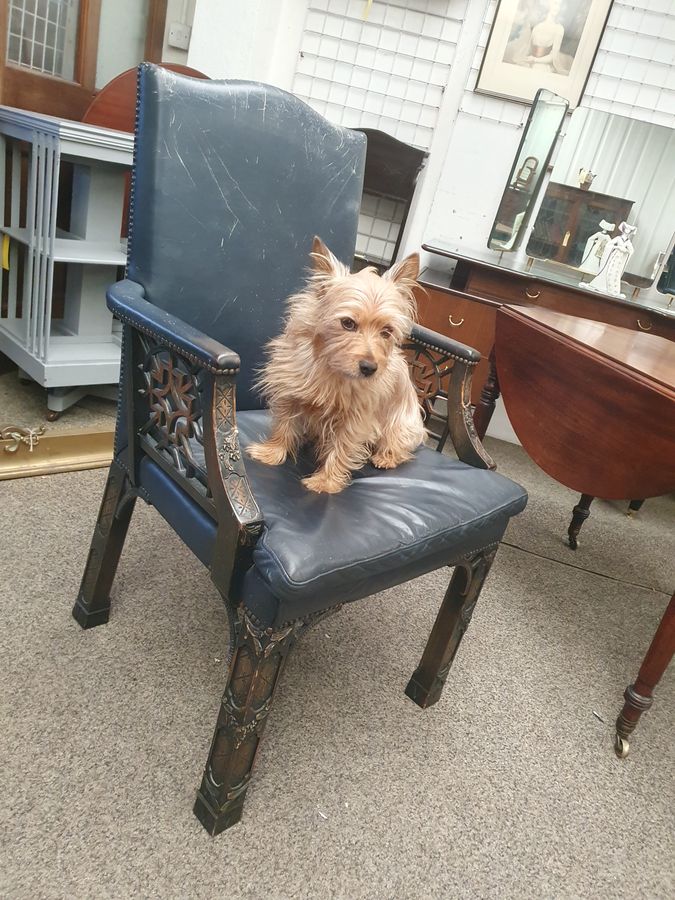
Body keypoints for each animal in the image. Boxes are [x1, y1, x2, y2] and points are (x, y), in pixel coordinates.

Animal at [248, 236, 426, 492]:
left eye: (387, 331)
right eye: (348, 323)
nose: (370, 368)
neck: (332, 368)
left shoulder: (356, 419)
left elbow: (342, 446)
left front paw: (326, 481)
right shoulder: (289, 393)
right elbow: (283, 424)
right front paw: (272, 452)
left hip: (403, 426)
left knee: (398, 444)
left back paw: (386, 457)